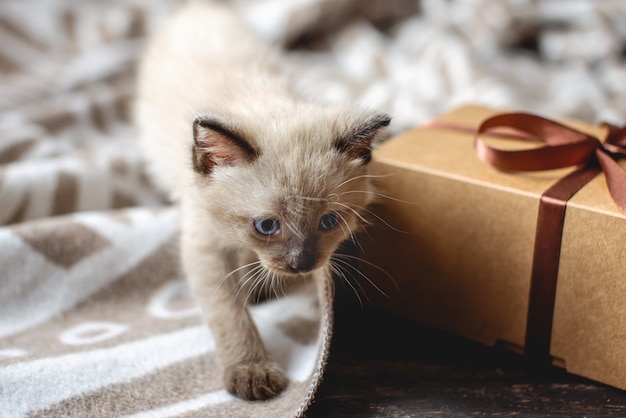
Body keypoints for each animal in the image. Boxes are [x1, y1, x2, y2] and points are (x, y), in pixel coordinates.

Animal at [135, 0, 390, 402]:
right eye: (267, 225)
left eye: (329, 222)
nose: (301, 265)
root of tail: (195, 9)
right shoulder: (205, 246)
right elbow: (229, 314)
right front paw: (252, 372)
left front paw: (261, 288)